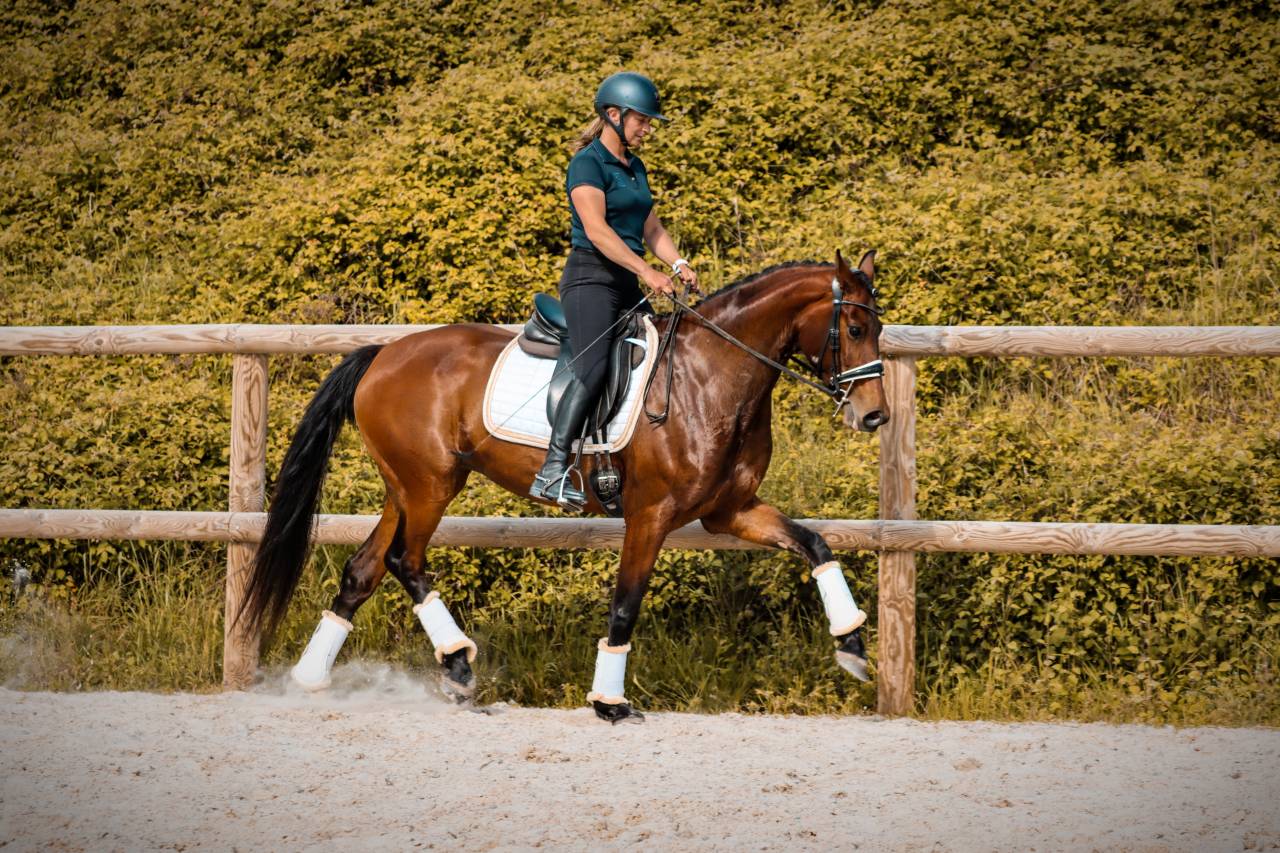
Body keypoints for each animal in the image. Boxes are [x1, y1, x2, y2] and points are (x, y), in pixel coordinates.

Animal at [236, 249, 888, 723]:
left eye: (878, 328)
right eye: (855, 327)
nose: (875, 416)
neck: (711, 378)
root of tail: (381, 355)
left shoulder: (730, 511)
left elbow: (814, 545)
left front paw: (852, 646)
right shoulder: (651, 516)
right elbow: (625, 605)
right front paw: (610, 702)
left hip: (405, 487)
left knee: (364, 570)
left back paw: (311, 678)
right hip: (431, 486)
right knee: (406, 561)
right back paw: (458, 666)